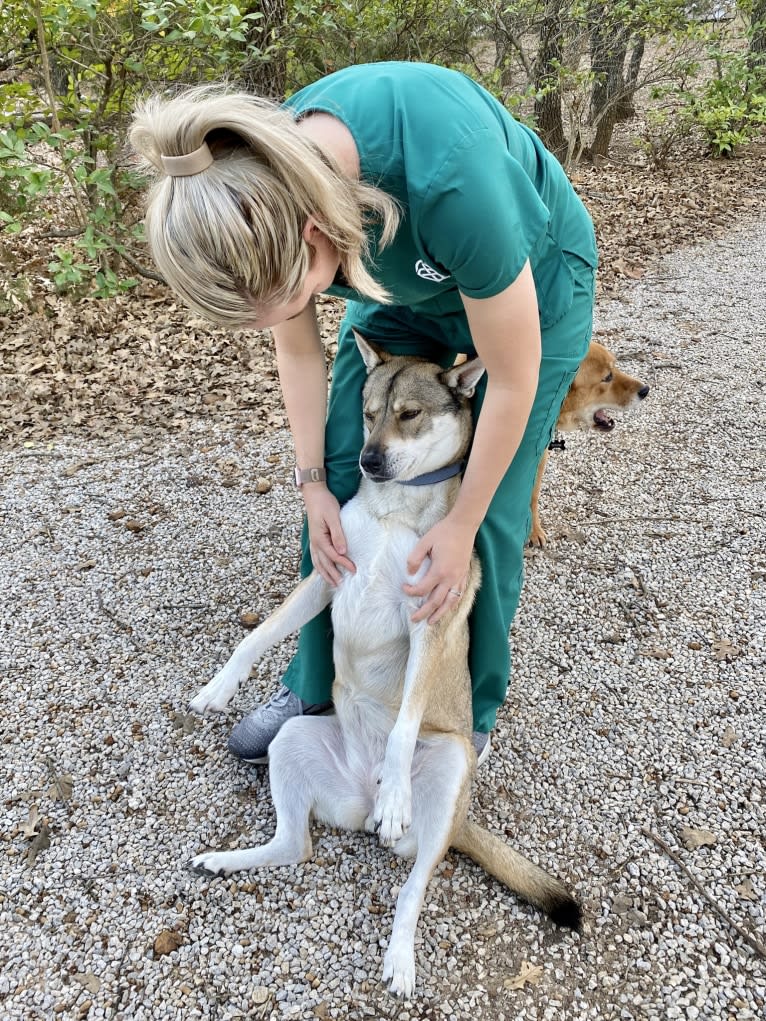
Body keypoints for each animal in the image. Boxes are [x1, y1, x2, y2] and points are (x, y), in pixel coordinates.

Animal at [187, 334, 580, 996]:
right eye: (368, 414)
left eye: (410, 415)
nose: (368, 460)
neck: (396, 506)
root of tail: (358, 797)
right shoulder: (326, 578)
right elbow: (259, 636)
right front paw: (220, 686)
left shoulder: (428, 621)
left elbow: (403, 724)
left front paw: (395, 789)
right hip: (291, 741)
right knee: (294, 846)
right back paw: (226, 859)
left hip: (449, 770)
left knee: (411, 890)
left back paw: (399, 950)